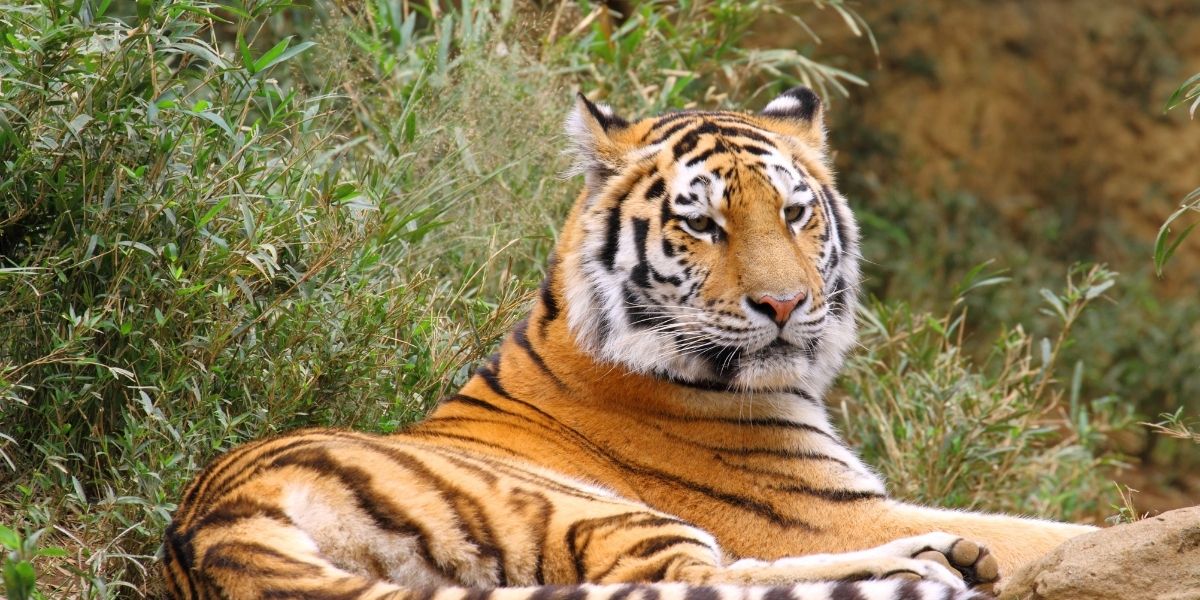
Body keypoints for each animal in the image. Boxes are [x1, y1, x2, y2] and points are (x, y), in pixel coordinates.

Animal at [161, 87, 1096, 600]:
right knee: (697, 583)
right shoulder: (819, 510)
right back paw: (938, 565)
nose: (784, 304)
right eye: (703, 223)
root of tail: (211, 528)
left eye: (795, 212)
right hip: (595, 509)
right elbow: (1053, 533)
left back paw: (947, 558)